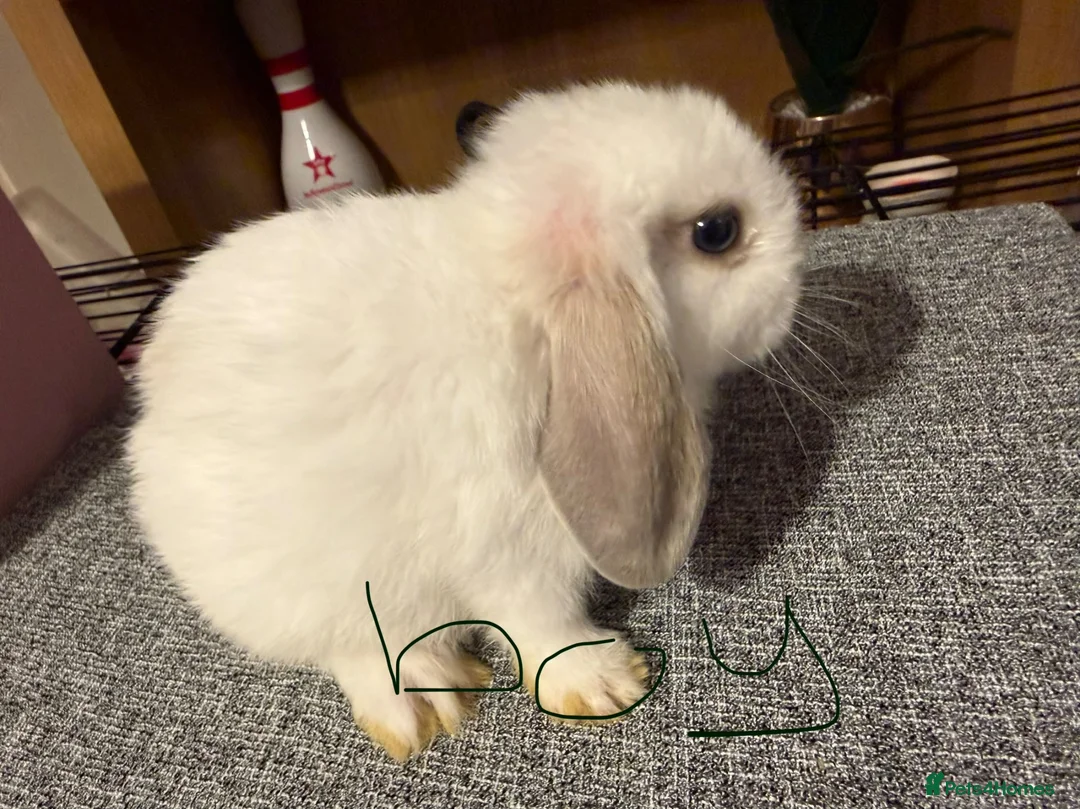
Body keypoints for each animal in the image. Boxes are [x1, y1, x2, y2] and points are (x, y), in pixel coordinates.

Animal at [126, 80, 805, 761]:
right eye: (717, 231)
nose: (797, 281)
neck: (524, 319)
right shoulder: (507, 550)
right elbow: (539, 621)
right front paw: (607, 686)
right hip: (298, 589)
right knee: (349, 646)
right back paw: (423, 706)